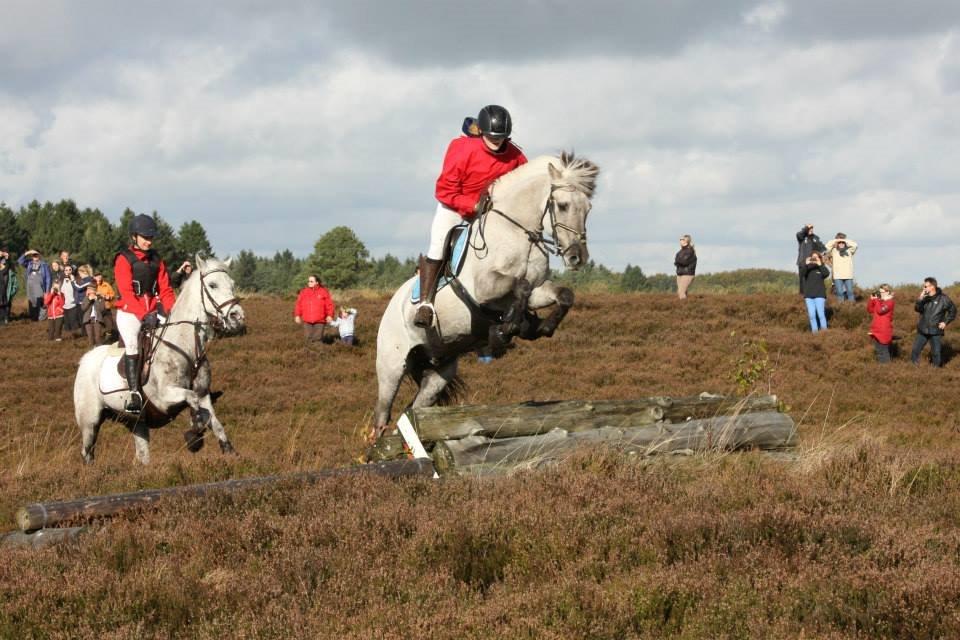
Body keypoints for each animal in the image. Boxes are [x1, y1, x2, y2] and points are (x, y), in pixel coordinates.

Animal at [75, 256, 248, 464]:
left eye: (232, 284)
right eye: (212, 285)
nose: (237, 317)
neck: (187, 347)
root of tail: (85, 359)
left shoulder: (204, 394)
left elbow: (213, 420)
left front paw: (229, 451)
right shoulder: (164, 398)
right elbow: (192, 400)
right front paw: (194, 435)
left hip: (136, 422)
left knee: (141, 453)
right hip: (90, 420)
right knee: (87, 450)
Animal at [376, 152, 600, 438]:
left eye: (588, 209)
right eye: (562, 205)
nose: (577, 257)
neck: (518, 233)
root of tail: (391, 305)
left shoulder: (539, 289)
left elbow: (562, 294)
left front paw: (541, 326)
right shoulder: (486, 288)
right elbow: (520, 285)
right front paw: (507, 329)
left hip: (439, 374)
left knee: (414, 408)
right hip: (391, 367)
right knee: (382, 413)